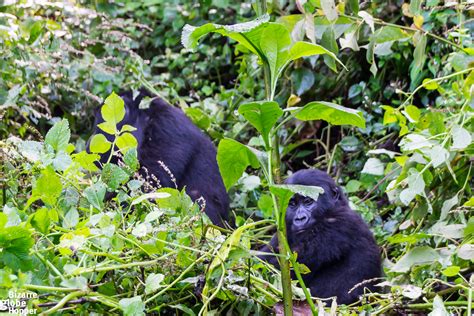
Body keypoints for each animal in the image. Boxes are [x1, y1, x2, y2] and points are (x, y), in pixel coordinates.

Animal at [262, 169, 384, 304]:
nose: (299, 218)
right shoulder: (284, 231)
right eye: (292, 204)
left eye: (308, 201)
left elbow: (286, 266)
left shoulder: (340, 224)